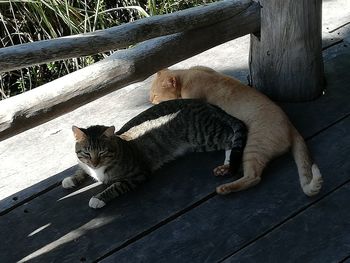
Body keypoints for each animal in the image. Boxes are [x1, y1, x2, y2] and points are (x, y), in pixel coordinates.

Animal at [61, 100, 246, 209]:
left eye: (102, 152)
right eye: (86, 152)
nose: (94, 163)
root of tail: (202, 102)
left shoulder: (138, 174)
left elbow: (116, 186)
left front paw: (98, 198)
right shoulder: (86, 165)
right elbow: (81, 169)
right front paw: (70, 179)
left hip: (203, 134)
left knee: (231, 137)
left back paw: (228, 163)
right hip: (200, 143)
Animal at [148, 67, 322, 197]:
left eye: (155, 95)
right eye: (150, 95)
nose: (150, 101)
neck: (187, 76)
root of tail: (291, 126)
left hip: (254, 146)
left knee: (253, 177)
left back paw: (225, 188)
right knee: (232, 159)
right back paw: (223, 169)